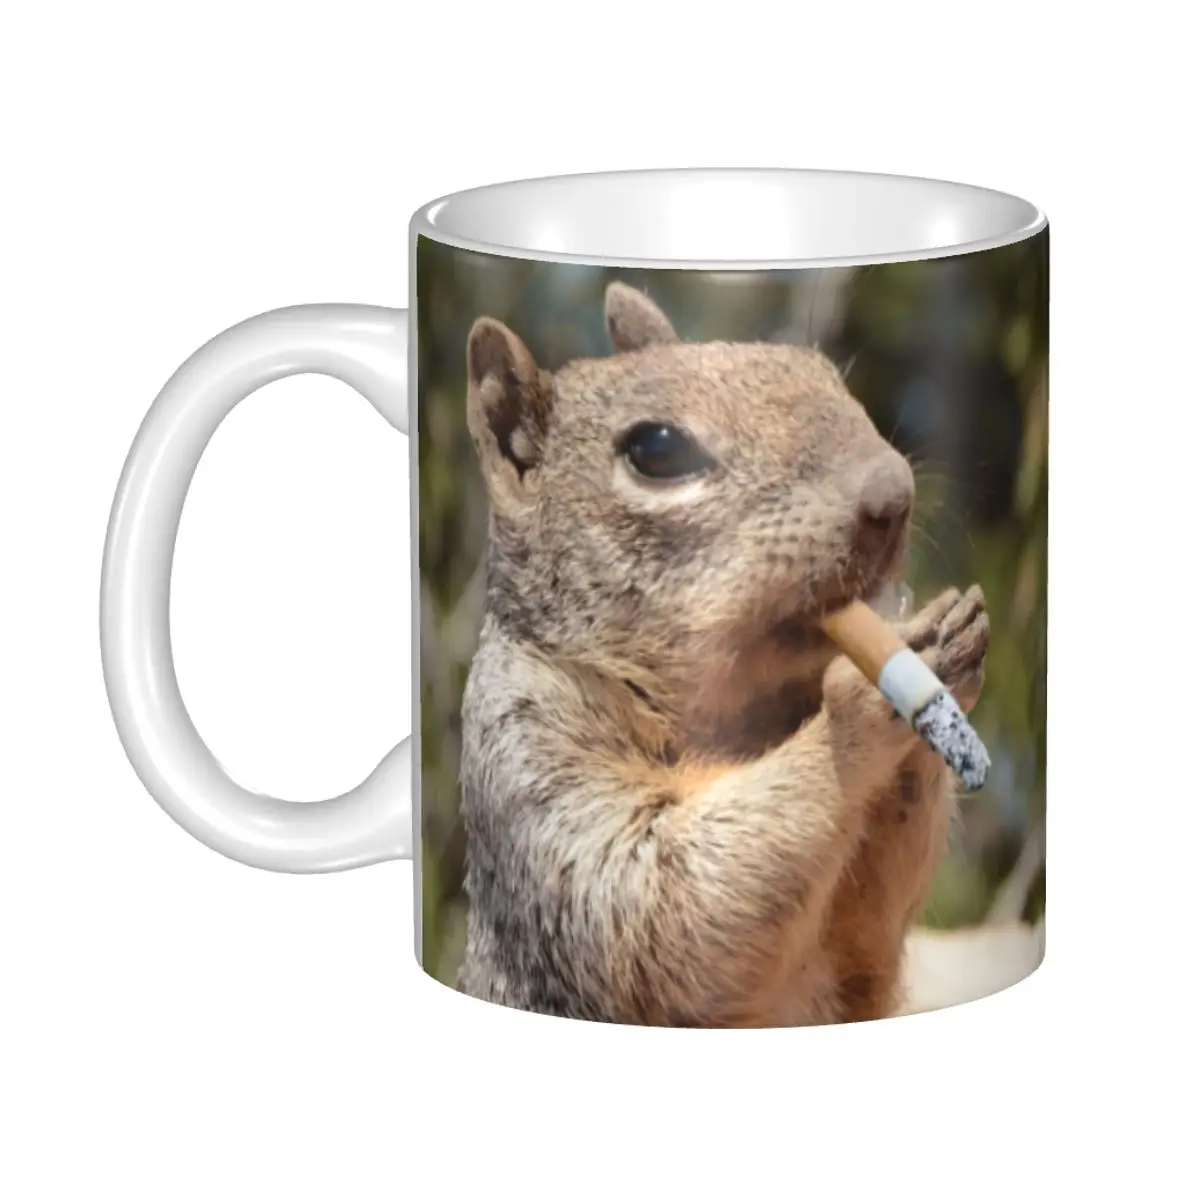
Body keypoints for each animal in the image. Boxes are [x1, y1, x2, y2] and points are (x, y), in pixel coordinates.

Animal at [454, 281, 989, 1027]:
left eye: (824, 371)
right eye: (655, 448)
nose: (893, 494)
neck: (733, 720)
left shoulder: (857, 958)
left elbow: (870, 928)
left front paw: (943, 635)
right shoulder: (526, 771)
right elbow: (656, 906)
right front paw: (863, 697)